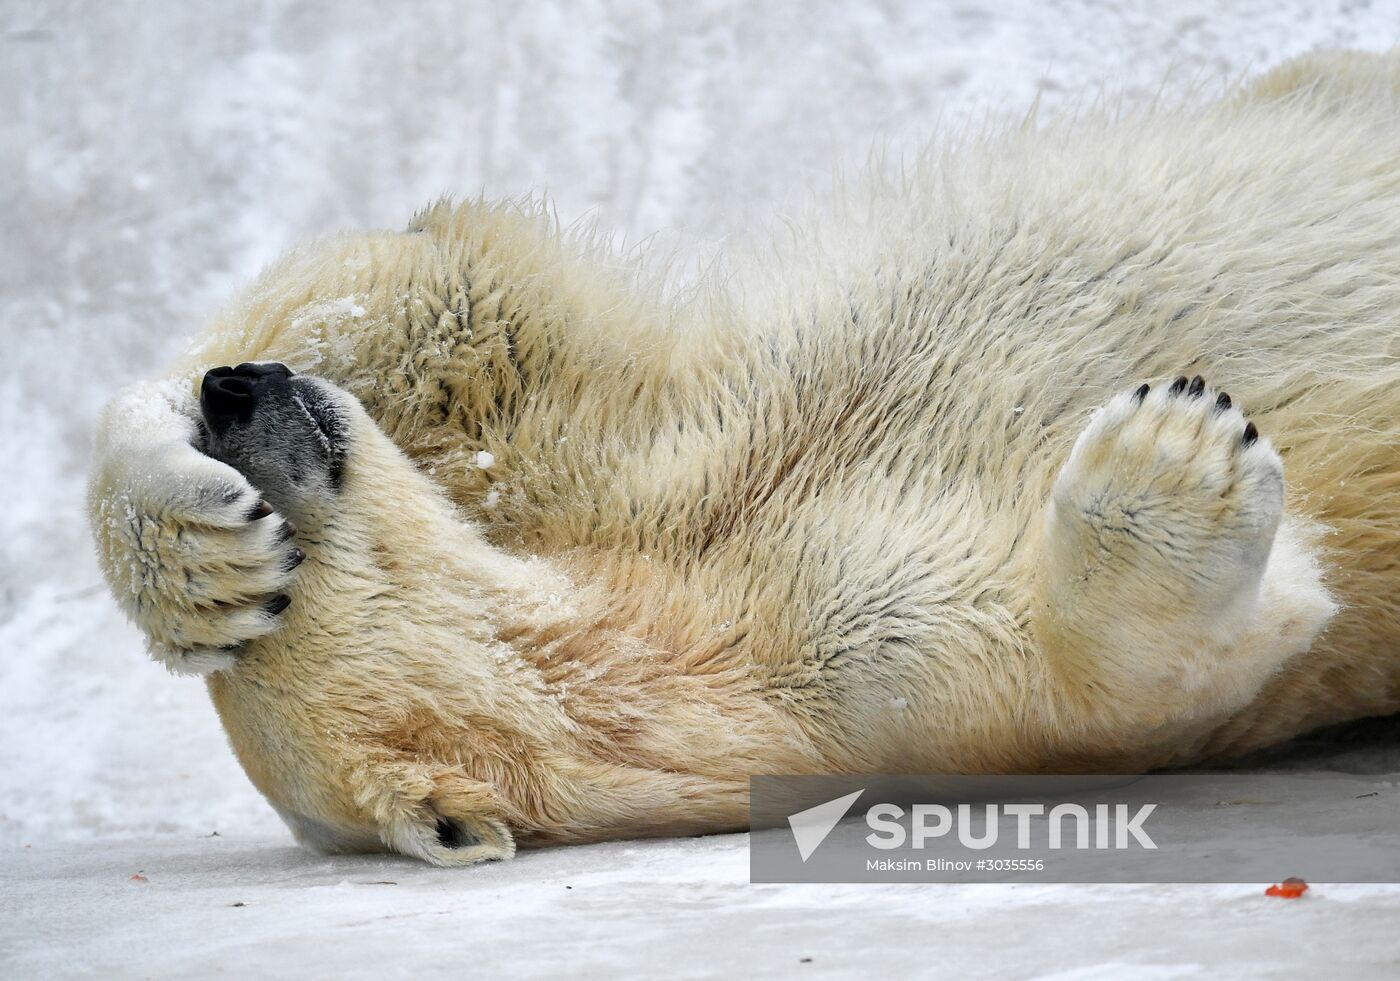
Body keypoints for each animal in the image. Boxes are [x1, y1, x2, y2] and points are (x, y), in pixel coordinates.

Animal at [87, 53, 1400, 862]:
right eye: (293, 553)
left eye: (268, 500)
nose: (238, 397)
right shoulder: (849, 680)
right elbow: (1169, 662)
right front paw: (1176, 445)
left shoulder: (615, 464)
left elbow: (451, 297)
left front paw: (187, 533)